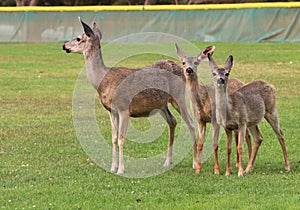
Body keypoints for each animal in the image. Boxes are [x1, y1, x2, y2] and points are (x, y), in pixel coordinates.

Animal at [62, 18, 197, 174]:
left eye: (78, 38)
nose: (64, 45)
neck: (103, 81)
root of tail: (180, 68)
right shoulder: (111, 110)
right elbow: (114, 138)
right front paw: (112, 167)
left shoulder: (124, 108)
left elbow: (121, 138)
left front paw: (121, 169)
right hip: (161, 104)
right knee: (172, 121)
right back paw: (167, 161)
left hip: (178, 96)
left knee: (191, 122)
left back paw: (195, 163)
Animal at [176, 44, 253, 176]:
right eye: (183, 62)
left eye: (196, 62)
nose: (189, 70)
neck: (202, 100)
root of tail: (241, 81)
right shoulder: (200, 120)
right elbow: (200, 144)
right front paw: (198, 169)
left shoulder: (215, 120)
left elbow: (214, 144)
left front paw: (217, 170)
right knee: (238, 136)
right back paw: (237, 164)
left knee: (247, 137)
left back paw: (247, 166)